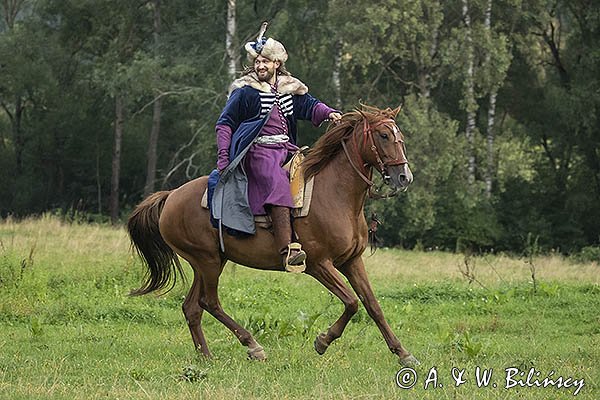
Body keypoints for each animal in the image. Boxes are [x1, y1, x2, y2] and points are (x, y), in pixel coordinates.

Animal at [126, 105, 418, 366]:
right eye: (383, 135)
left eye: (399, 135)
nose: (404, 177)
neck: (335, 194)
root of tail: (171, 196)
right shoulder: (319, 264)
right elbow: (351, 302)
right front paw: (323, 341)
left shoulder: (352, 261)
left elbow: (372, 305)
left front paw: (403, 353)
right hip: (207, 261)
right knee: (209, 302)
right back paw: (252, 346)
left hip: (210, 262)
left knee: (192, 307)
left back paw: (206, 356)